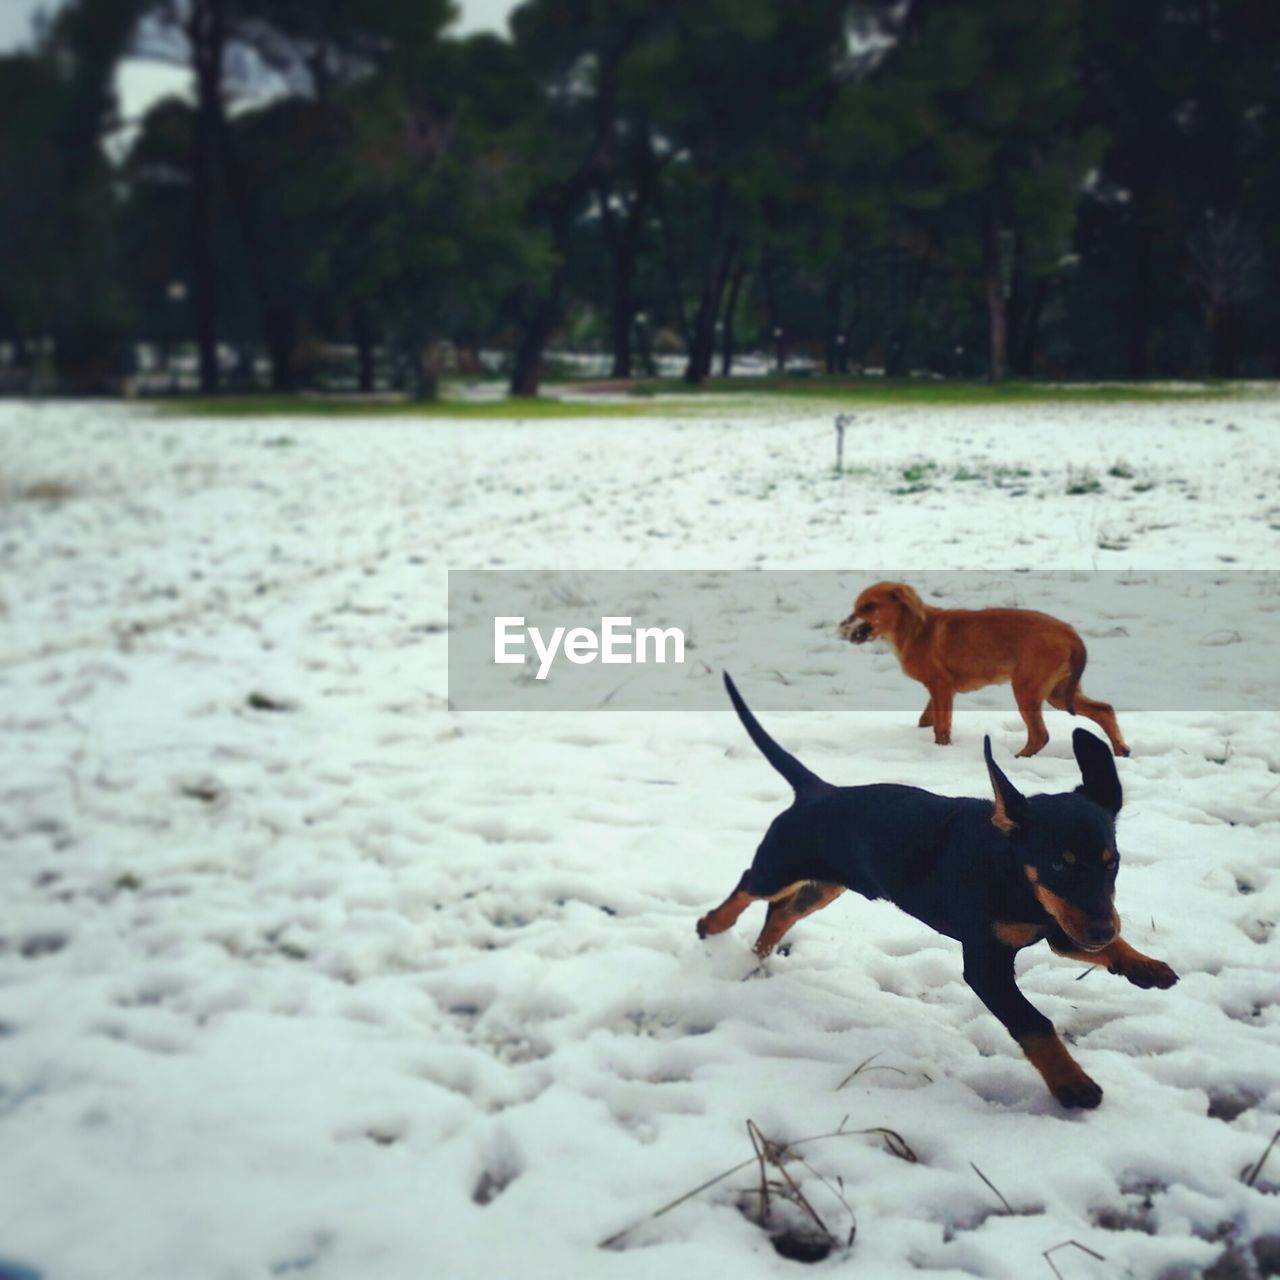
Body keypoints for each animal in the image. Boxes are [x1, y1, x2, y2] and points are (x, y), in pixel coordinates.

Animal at [701, 675, 1177, 1105]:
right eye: (1059, 864)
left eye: (1112, 862)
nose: (1102, 930)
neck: (1013, 878)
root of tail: (818, 790)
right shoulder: (987, 964)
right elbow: (1033, 1022)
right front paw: (1072, 1085)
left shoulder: (1063, 926)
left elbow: (1103, 949)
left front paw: (1145, 966)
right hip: (780, 865)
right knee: (748, 885)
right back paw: (712, 924)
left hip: (827, 885)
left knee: (782, 912)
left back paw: (758, 954)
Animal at [839, 583, 1131, 757]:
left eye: (869, 606)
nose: (842, 625)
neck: (916, 630)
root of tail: (1070, 633)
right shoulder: (940, 690)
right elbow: (926, 720)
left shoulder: (940, 686)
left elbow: (941, 727)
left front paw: (942, 750)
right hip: (1059, 693)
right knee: (1104, 710)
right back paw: (1121, 750)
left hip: (1027, 689)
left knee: (1040, 735)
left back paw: (1018, 759)